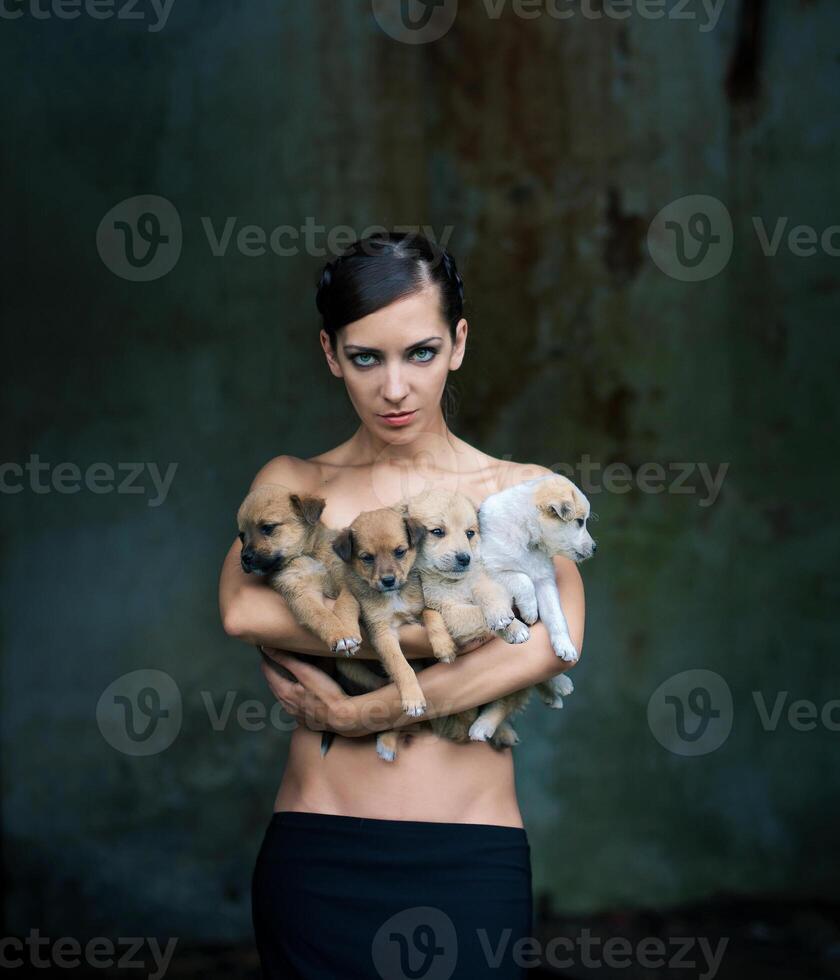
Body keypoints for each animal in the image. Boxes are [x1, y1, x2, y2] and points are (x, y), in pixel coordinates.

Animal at [235, 482, 362, 660]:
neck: (308, 554)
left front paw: (348, 631)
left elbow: (345, 605)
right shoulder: (301, 593)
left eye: (267, 528)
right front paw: (339, 635)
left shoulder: (346, 583)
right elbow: (321, 615)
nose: (245, 558)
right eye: (242, 536)